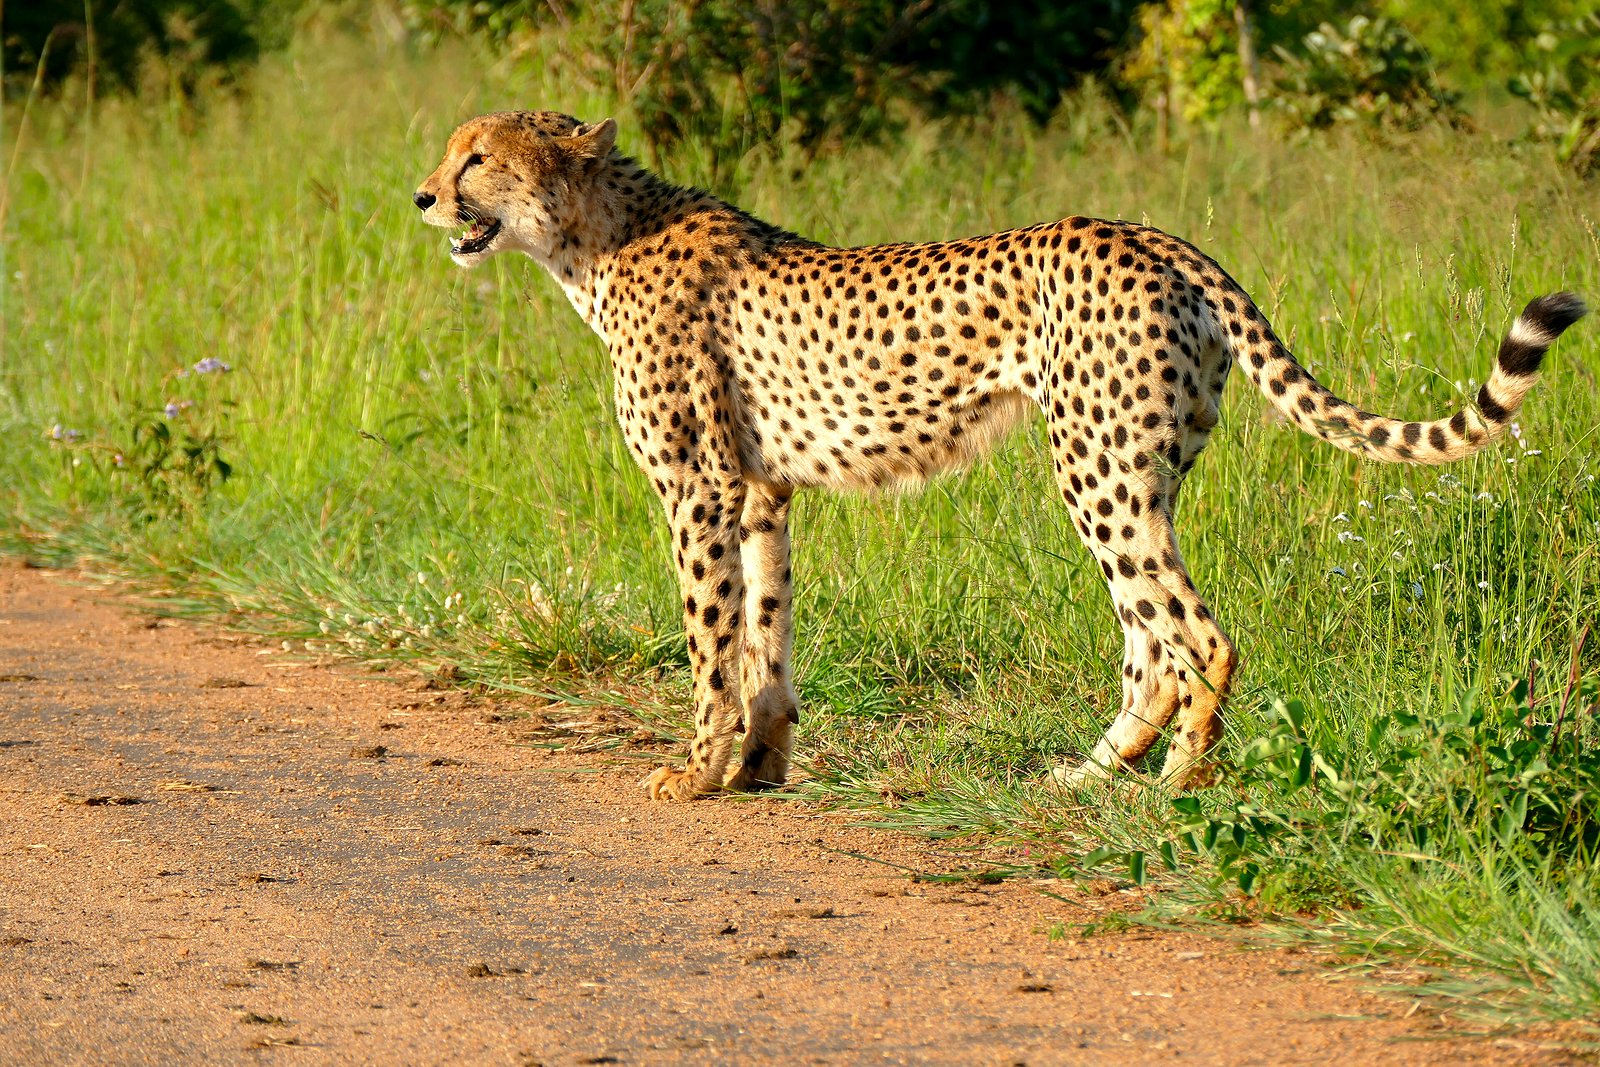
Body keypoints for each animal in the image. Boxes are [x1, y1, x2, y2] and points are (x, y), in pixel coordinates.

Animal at [414, 110, 1586, 801]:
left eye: (478, 157)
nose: (423, 196)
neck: (593, 237)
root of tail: (1154, 234)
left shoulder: (698, 489)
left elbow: (711, 639)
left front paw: (697, 771)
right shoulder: (761, 490)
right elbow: (766, 631)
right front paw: (761, 764)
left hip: (1097, 468)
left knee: (1197, 636)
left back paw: (1180, 784)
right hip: (1135, 469)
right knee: (1149, 639)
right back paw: (1090, 774)